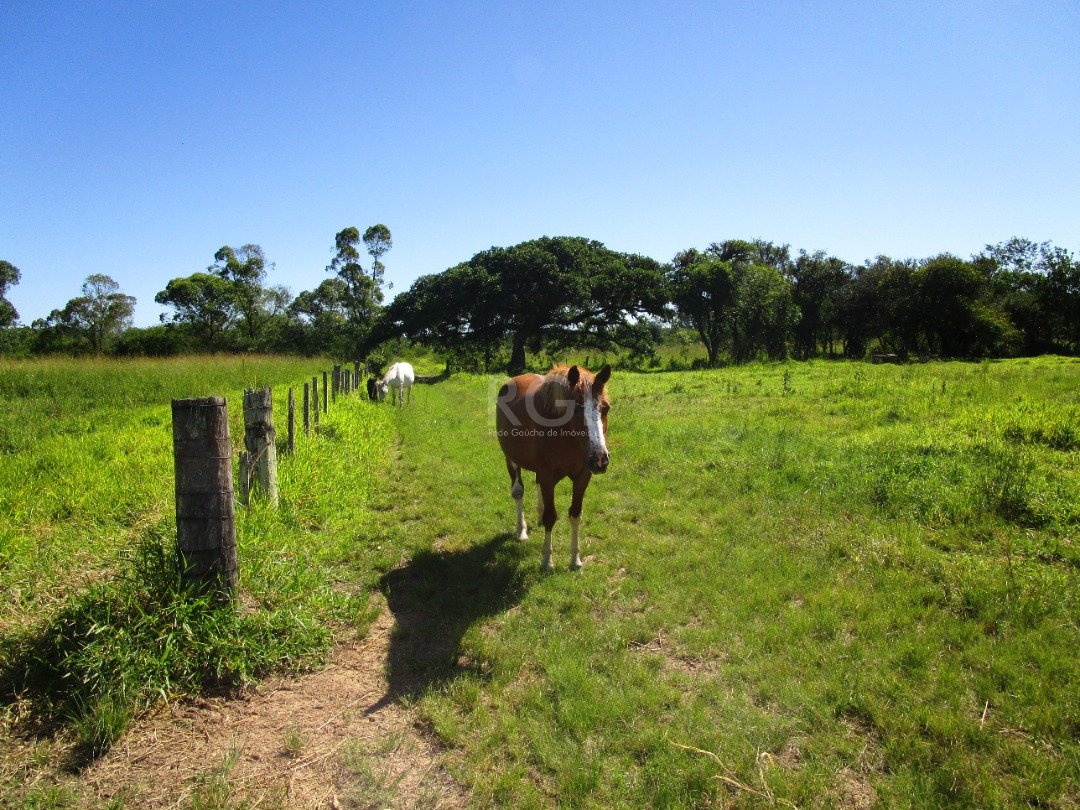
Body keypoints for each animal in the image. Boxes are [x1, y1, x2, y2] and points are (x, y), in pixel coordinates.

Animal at [494, 367, 613, 570]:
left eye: (606, 408)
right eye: (576, 408)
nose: (600, 459)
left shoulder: (582, 477)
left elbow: (575, 514)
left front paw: (575, 559)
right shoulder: (547, 475)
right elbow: (551, 516)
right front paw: (547, 561)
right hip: (512, 460)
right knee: (518, 492)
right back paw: (521, 530)